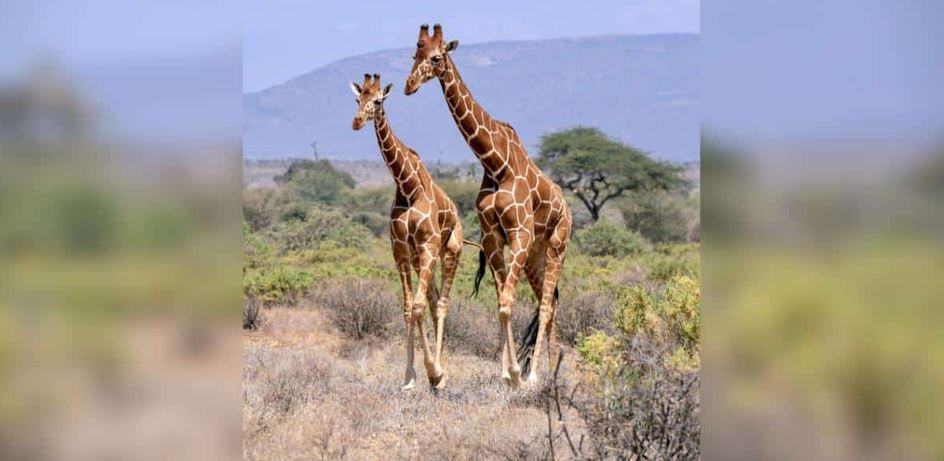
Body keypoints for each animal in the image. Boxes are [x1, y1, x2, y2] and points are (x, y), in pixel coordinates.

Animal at [351, 73, 464, 390]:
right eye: (358, 99)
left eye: (378, 101)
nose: (357, 121)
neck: (407, 187)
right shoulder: (400, 251)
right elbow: (407, 307)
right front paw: (410, 377)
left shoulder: (427, 247)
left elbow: (417, 307)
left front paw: (433, 372)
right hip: (421, 259)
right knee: (433, 301)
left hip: (449, 252)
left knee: (442, 304)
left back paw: (441, 373)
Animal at [405, 24, 573, 388]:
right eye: (415, 54)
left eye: (436, 57)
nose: (409, 85)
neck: (496, 163)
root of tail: (568, 209)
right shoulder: (492, 237)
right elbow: (500, 301)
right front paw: (505, 372)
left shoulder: (519, 233)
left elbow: (507, 303)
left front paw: (518, 375)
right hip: (535, 254)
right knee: (549, 301)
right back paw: (552, 369)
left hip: (556, 245)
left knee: (548, 304)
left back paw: (538, 374)